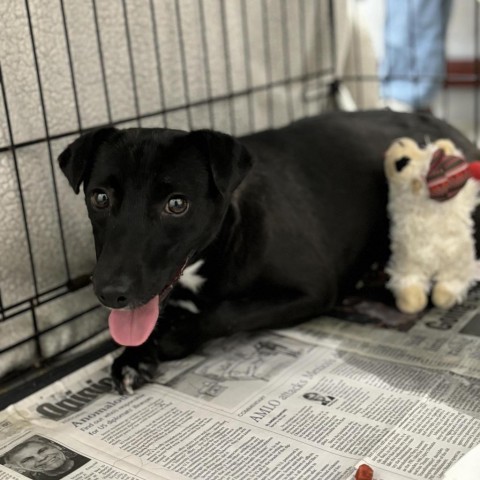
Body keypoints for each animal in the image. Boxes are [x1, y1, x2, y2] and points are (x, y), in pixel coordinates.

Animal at [57, 110, 480, 392]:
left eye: (177, 204)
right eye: (99, 197)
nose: (111, 293)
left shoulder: (312, 291)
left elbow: (225, 313)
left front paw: (174, 340)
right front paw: (133, 356)